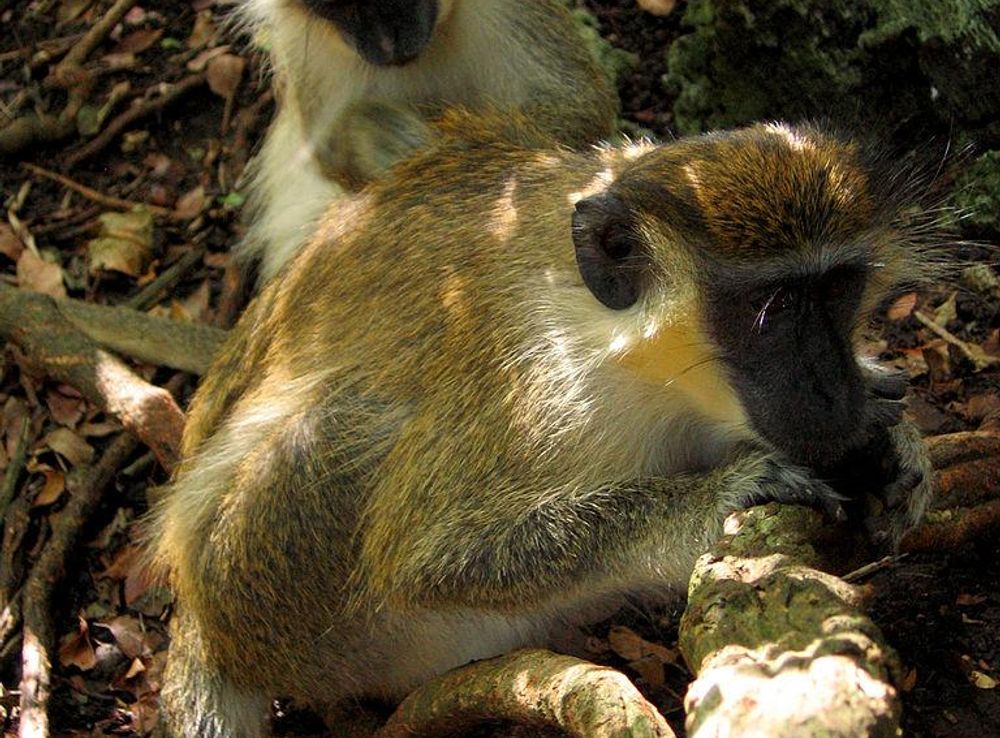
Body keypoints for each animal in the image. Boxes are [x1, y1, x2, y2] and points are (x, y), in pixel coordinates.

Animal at [149, 117, 940, 737]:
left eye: (836, 292)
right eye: (768, 310)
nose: (832, 388)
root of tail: (204, 625)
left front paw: (886, 433)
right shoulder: (531, 391)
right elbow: (432, 560)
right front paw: (727, 491)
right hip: (275, 578)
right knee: (336, 430)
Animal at [236, 0, 618, 284]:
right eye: (335, 6)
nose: (389, 43)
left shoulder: (511, 12)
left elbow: (576, 106)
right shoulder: (305, 52)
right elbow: (331, 158)